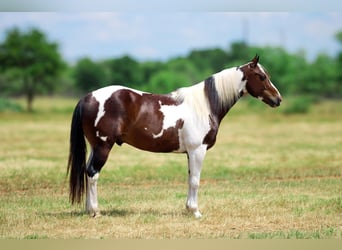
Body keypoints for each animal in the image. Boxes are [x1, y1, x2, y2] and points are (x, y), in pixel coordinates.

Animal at [67, 54, 284, 217]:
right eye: (261, 76)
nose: (278, 99)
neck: (205, 105)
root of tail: (87, 97)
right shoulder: (198, 150)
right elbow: (195, 180)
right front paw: (196, 212)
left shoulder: (190, 153)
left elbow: (189, 179)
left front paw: (189, 209)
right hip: (103, 146)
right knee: (93, 174)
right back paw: (96, 211)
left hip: (95, 147)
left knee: (87, 172)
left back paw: (88, 209)